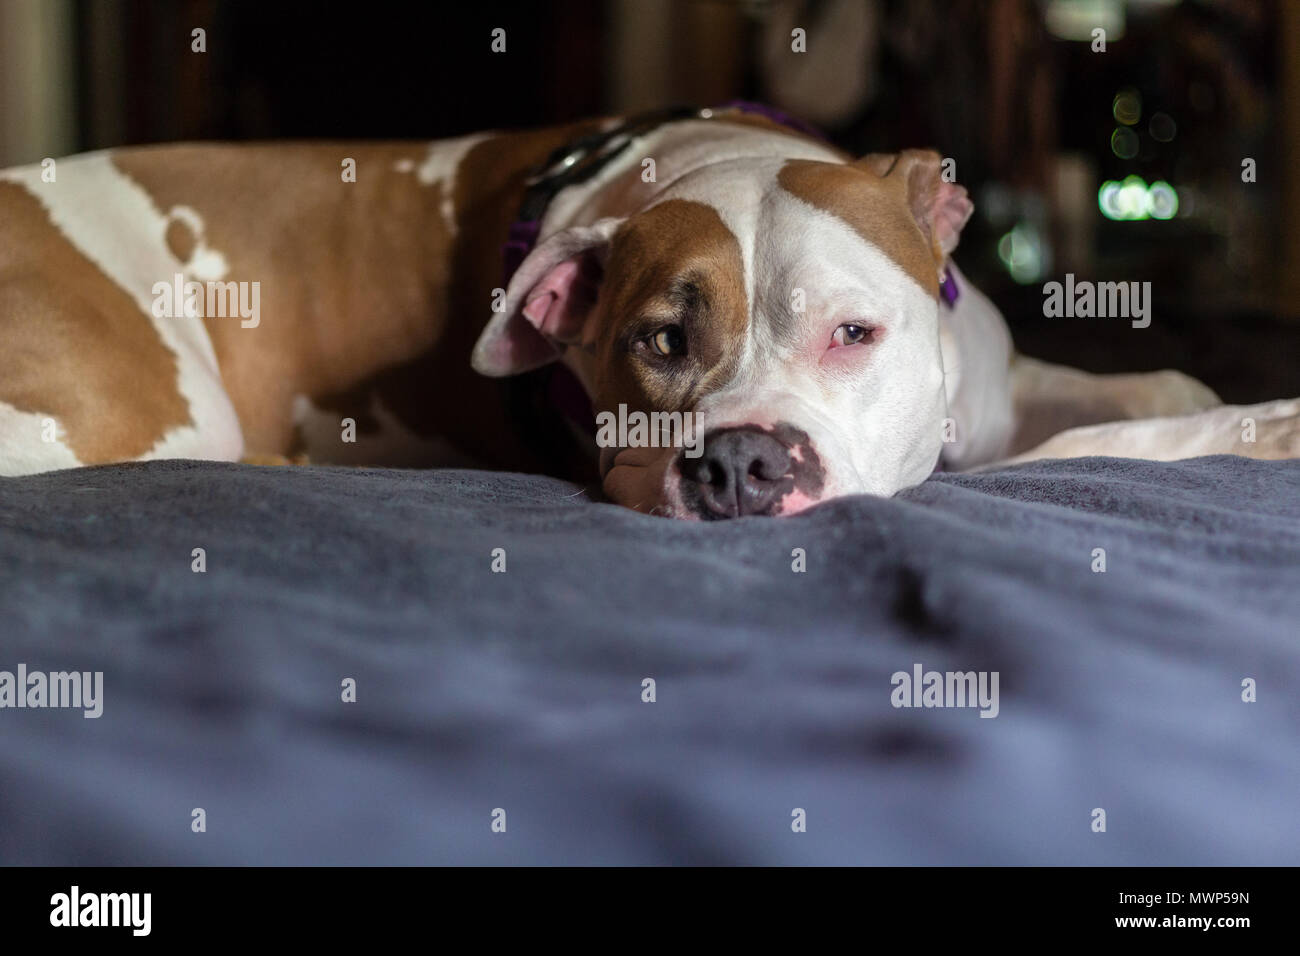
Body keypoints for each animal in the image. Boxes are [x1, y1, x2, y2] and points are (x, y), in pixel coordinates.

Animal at [0, 105, 1294, 520]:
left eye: (853, 333)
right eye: (660, 342)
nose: (739, 464)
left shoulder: (991, 389)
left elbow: (1160, 383)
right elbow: (1117, 436)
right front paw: (1272, 425)